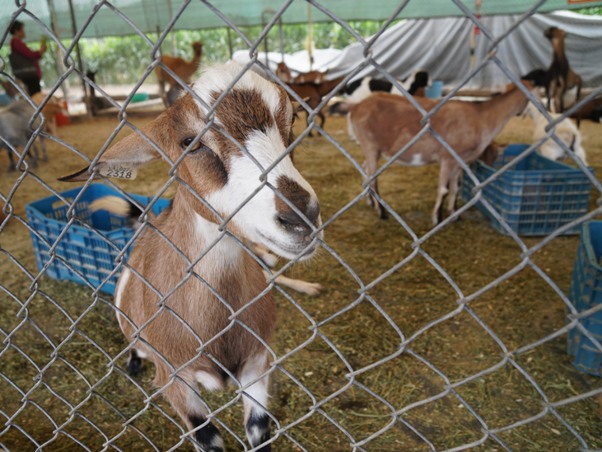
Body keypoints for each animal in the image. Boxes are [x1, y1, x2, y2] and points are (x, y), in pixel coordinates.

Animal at [59, 61, 324, 450]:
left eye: (293, 118)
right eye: (190, 143)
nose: (301, 218)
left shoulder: (258, 365)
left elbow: (259, 429)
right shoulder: (173, 378)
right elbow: (206, 435)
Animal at [330, 81, 532, 226]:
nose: (523, 112)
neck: (481, 117)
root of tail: (356, 106)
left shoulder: (458, 160)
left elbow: (455, 187)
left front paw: (455, 214)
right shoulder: (447, 157)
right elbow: (444, 189)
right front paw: (438, 218)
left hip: (373, 148)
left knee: (365, 171)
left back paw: (370, 203)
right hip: (370, 145)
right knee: (372, 179)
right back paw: (383, 213)